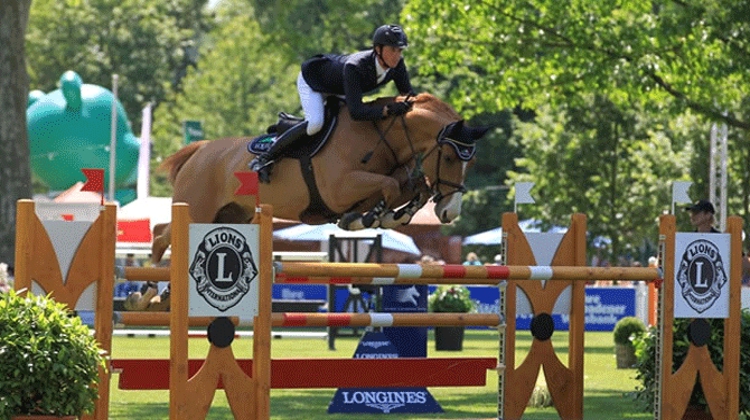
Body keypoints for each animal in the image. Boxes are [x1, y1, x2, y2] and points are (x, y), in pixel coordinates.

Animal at [153, 93, 494, 262]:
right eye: (449, 158)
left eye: (473, 161)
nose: (449, 212)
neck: (380, 135)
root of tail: (200, 150)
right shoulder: (339, 190)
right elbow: (387, 186)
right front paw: (372, 216)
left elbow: (412, 188)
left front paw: (385, 216)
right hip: (198, 211)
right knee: (161, 235)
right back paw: (150, 287)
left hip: (232, 215)